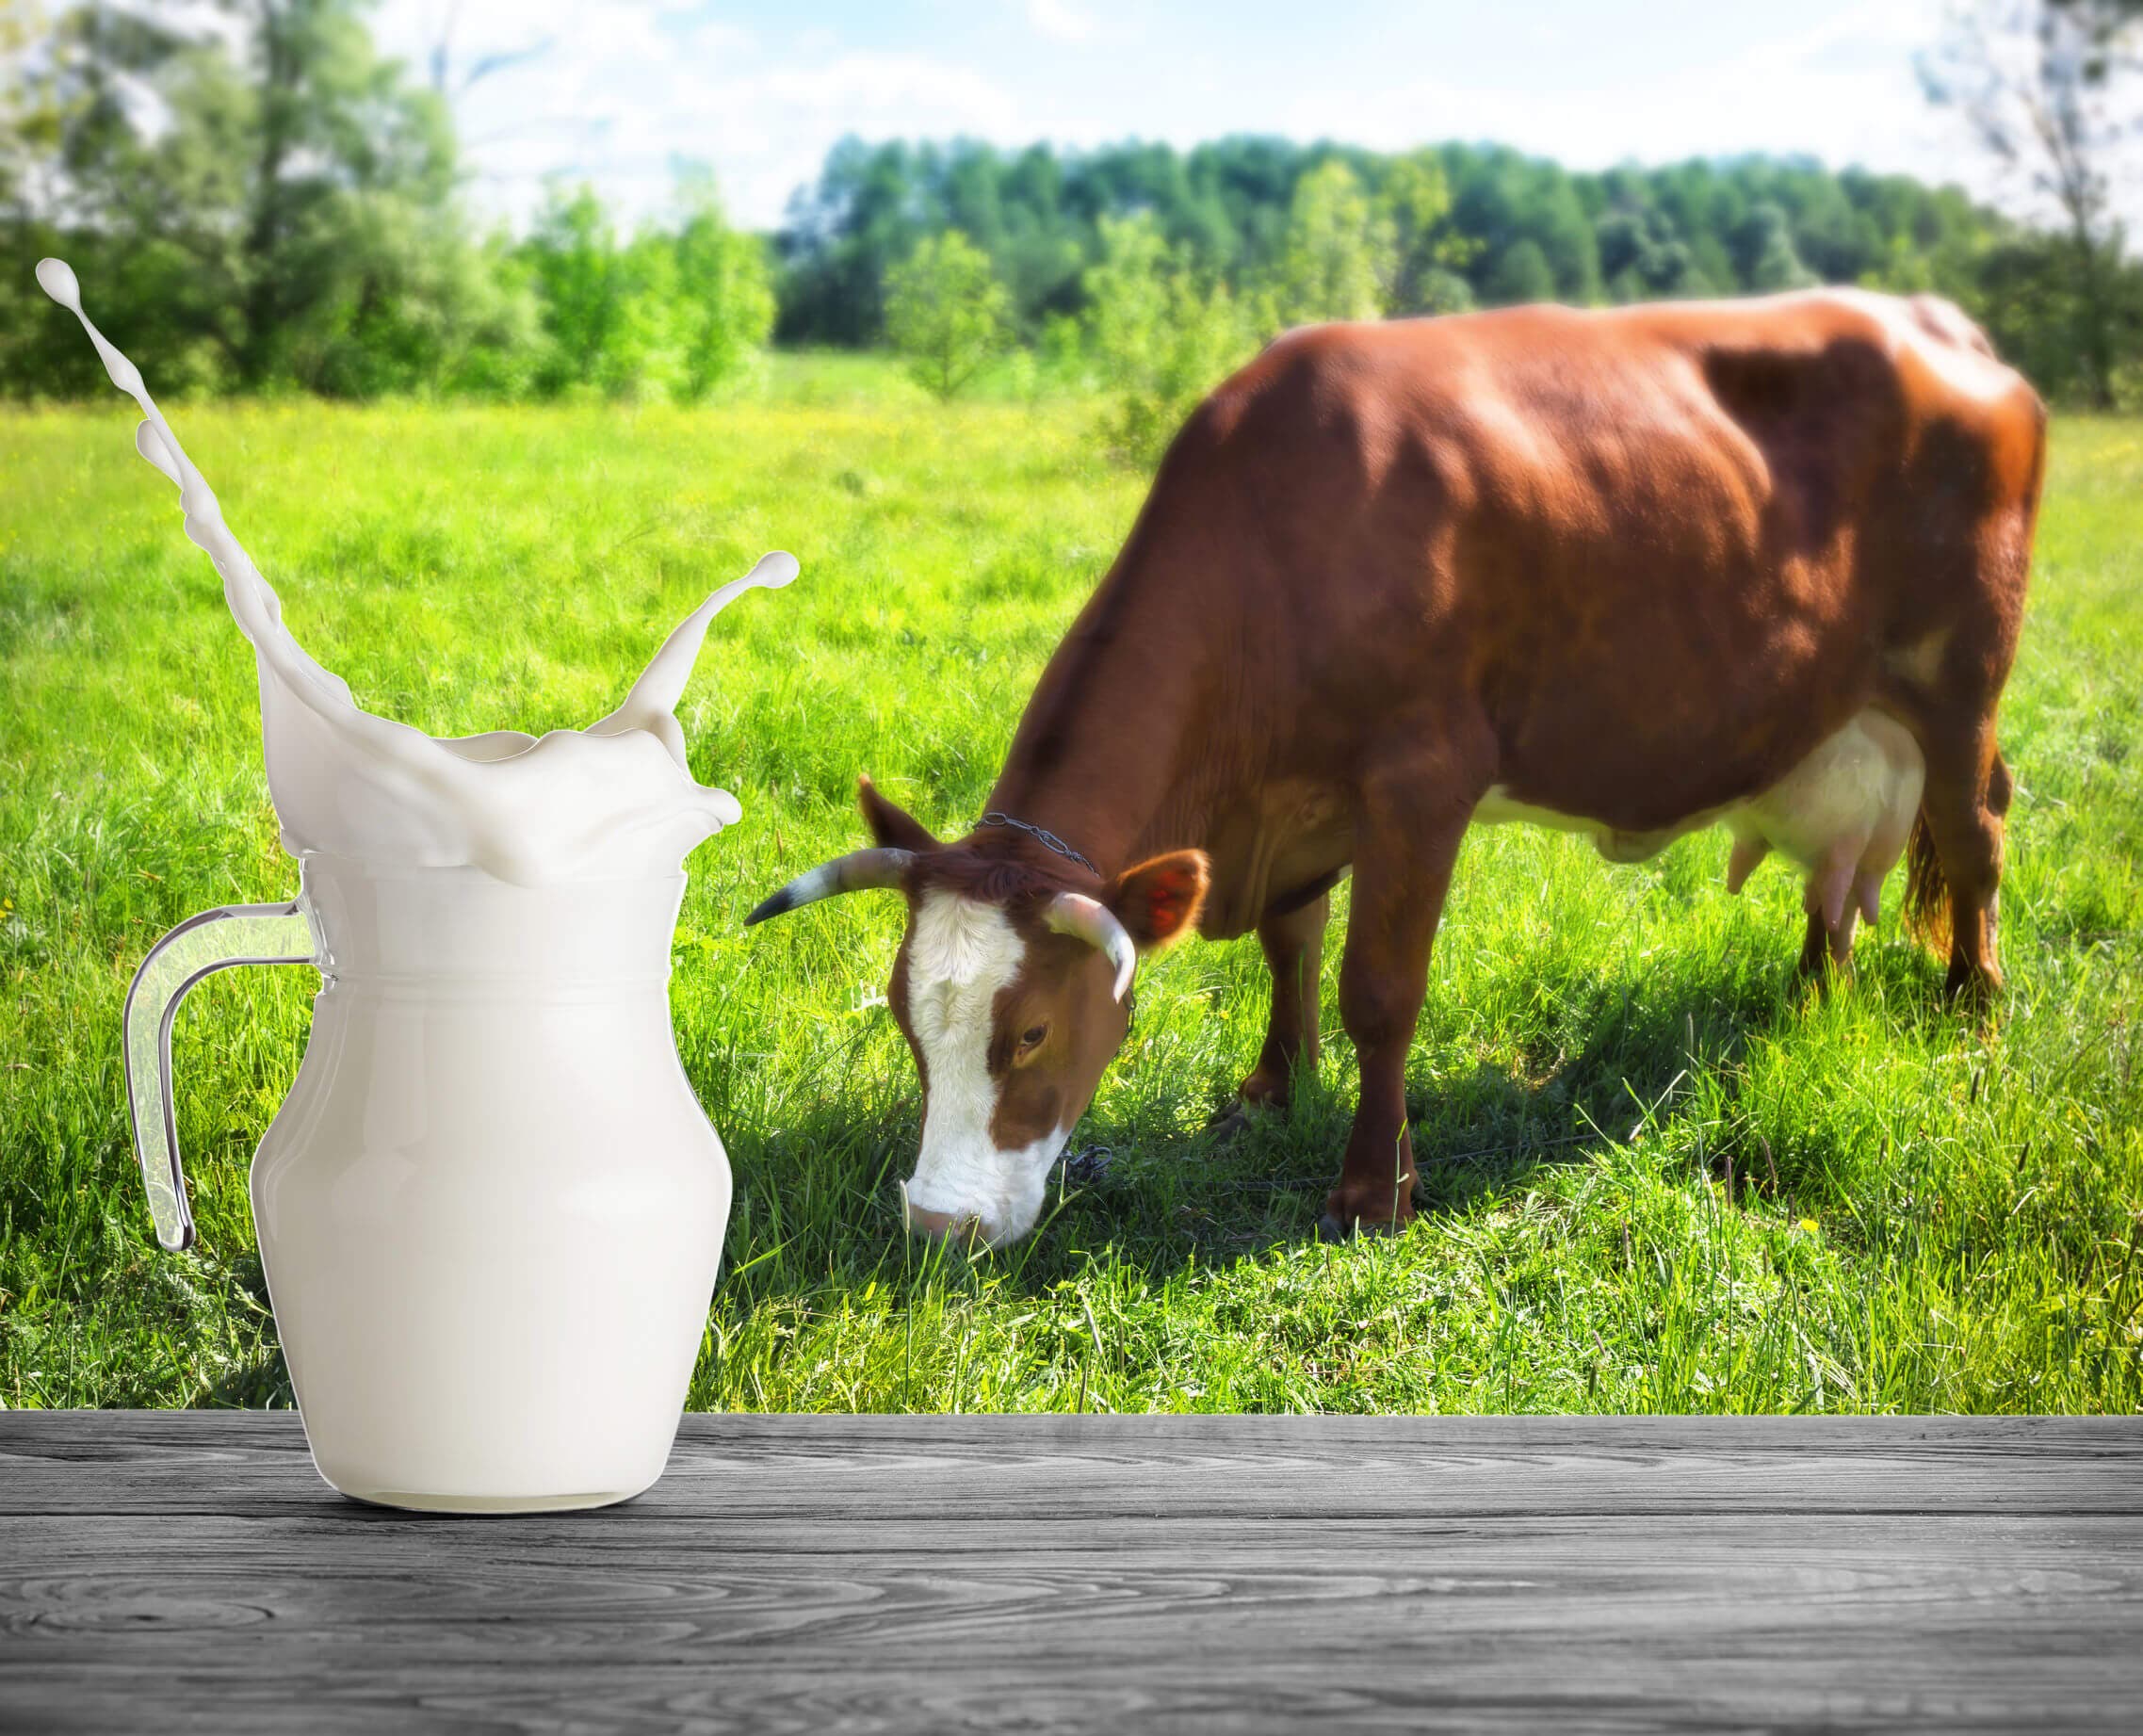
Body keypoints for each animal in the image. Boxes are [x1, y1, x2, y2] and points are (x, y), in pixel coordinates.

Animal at [747, 288, 2045, 1247]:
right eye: (909, 1023)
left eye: (1024, 1035)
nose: (934, 1228)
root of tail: (1938, 321)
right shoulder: (1295, 806)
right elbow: (1290, 945)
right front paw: (1269, 1090)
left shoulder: (1423, 780)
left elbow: (1378, 987)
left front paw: (1373, 1189)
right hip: (1837, 717)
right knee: (1838, 869)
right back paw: (1812, 996)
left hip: (1962, 676)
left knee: (1976, 828)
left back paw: (1973, 1012)